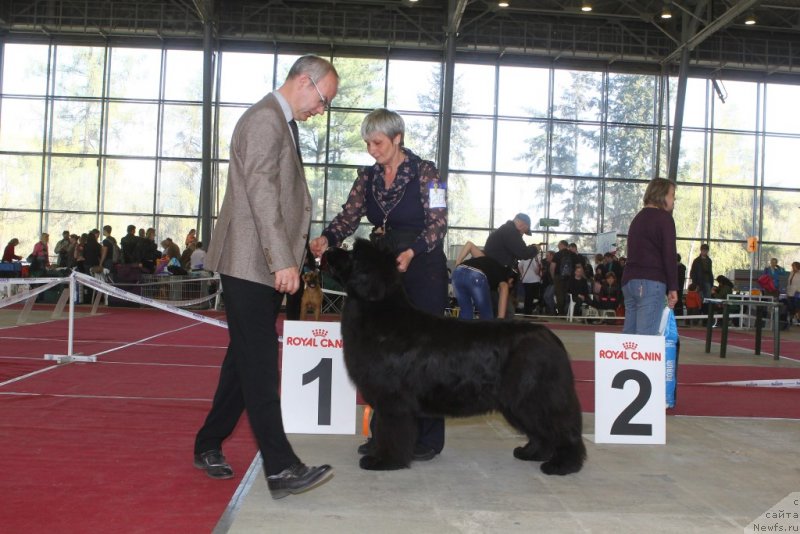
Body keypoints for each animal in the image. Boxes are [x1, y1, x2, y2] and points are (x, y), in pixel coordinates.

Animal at [322, 241, 584, 476]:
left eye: (353, 253)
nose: (328, 248)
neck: (381, 313)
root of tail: (550, 337)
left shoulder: (392, 398)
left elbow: (390, 431)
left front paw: (384, 461)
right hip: (520, 401)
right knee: (543, 432)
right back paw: (532, 452)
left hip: (534, 395)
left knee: (563, 428)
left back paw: (563, 465)